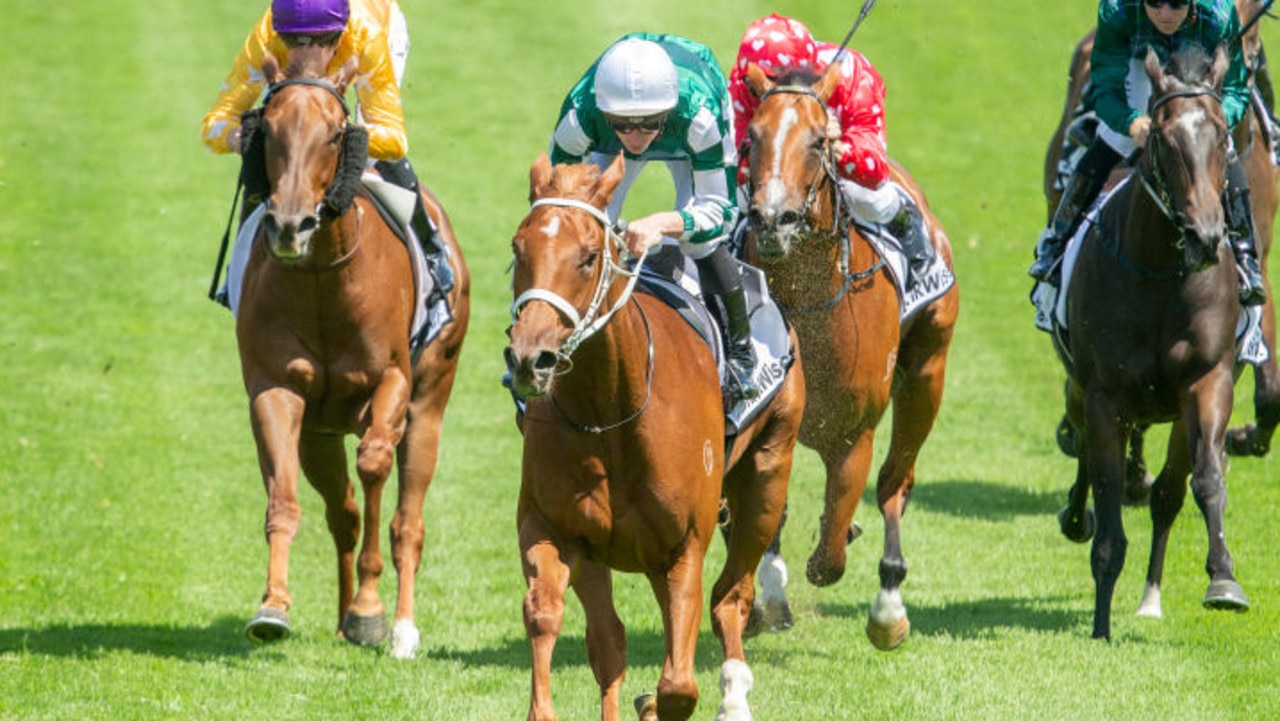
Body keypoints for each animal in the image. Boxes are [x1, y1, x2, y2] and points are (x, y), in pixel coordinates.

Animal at [234, 49, 471, 660]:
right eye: (267, 128)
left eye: (336, 132)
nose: (290, 224)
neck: (323, 284)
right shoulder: (276, 388)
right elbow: (284, 496)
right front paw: (273, 606)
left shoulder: (392, 381)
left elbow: (375, 467)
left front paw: (370, 610)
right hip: (320, 433)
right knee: (341, 511)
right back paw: (343, 620)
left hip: (429, 404)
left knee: (407, 520)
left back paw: (400, 626)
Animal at [501, 153, 793, 721]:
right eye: (518, 248)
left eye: (589, 257)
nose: (530, 357)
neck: (610, 412)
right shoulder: (555, 529)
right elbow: (550, 615)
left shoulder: (684, 546)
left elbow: (678, 685)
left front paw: (660, 700)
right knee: (610, 642)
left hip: (767, 477)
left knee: (731, 598)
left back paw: (734, 694)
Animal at [742, 62, 962, 650]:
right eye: (752, 137)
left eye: (820, 141)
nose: (772, 219)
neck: (812, 305)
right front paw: (768, 598)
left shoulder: (853, 434)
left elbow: (830, 559)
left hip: (927, 374)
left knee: (894, 484)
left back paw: (889, 603)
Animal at [1049, 48, 1249, 640]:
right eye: (1162, 138)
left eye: (1223, 134)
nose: (1207, 236)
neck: (1163, 275)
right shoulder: (1104, 395)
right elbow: (1108, 490)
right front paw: (1100, 623)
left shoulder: (1208, 381)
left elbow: (1204, 481)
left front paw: (1223, 579)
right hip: (1081, 390)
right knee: (1085, 451)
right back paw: (1076, 517)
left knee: (1166, 495)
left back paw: (1151, 597)